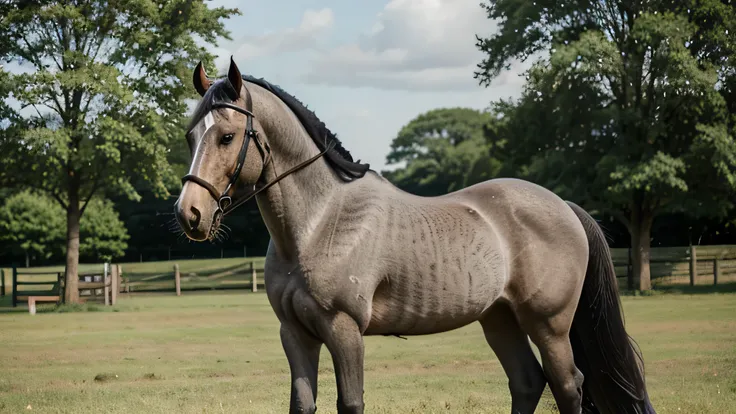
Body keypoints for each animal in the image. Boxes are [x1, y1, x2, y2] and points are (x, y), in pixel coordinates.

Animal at [174, 59, 656, 414]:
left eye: (227, 136)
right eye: (191, 135)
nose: (189, 213)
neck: (319, 223)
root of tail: (564, 207)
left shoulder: (344, 330)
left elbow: (350, 403)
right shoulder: (294, 333)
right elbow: (302, 405)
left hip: (549, 325)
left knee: (568, 385)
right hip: (499, 319)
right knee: (527, 382)